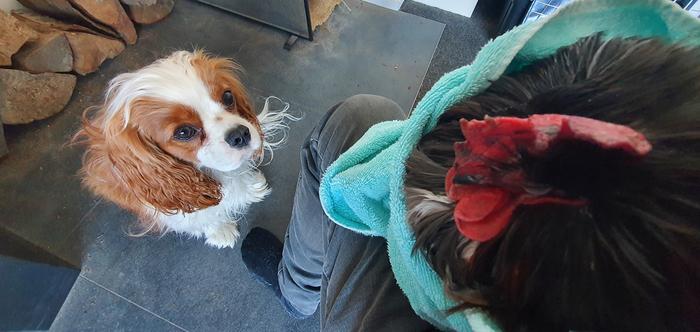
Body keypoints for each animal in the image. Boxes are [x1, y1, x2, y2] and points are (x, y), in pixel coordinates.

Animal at [72, 50, 288, 248]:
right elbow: (201, 218)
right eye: (183, 132)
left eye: (227, 97)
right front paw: (220, 230)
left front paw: (252, 187)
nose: (240, 134)